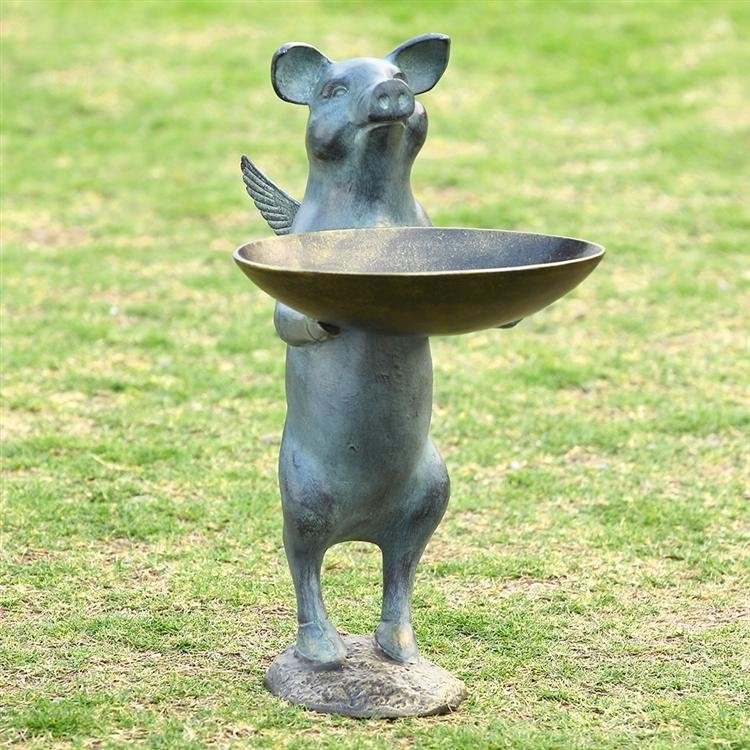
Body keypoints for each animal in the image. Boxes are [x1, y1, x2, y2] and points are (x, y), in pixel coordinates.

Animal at [241, 34, 451, 666]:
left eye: (401, 76)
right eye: (334, 90)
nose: (391, 91)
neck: (372, 212)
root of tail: (362, 525)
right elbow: (285, 320)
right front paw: (324, 322)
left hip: (433, 492)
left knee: (401, 567)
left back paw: (401, 650)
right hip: (303, 496)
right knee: (304, 564)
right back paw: (325, 653)